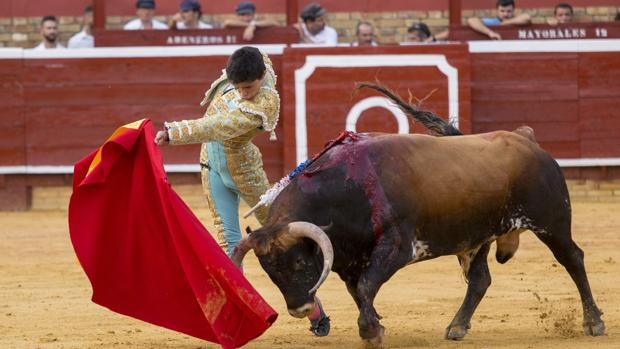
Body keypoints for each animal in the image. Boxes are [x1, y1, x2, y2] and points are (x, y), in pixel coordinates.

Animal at [230, 83, 604, 344]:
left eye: (298, 262)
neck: (346, 187)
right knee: (480, 279)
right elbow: (359, 291)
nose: (302, 310)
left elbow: (366, 285)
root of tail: (526, 139)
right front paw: (374, 325)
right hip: (478, 236)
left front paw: (370, 332)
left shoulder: (397, 246)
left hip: (551, 222)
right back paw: (457, 327)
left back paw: (593, 321)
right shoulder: (350, 258)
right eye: (268, 272)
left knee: (573, 258)